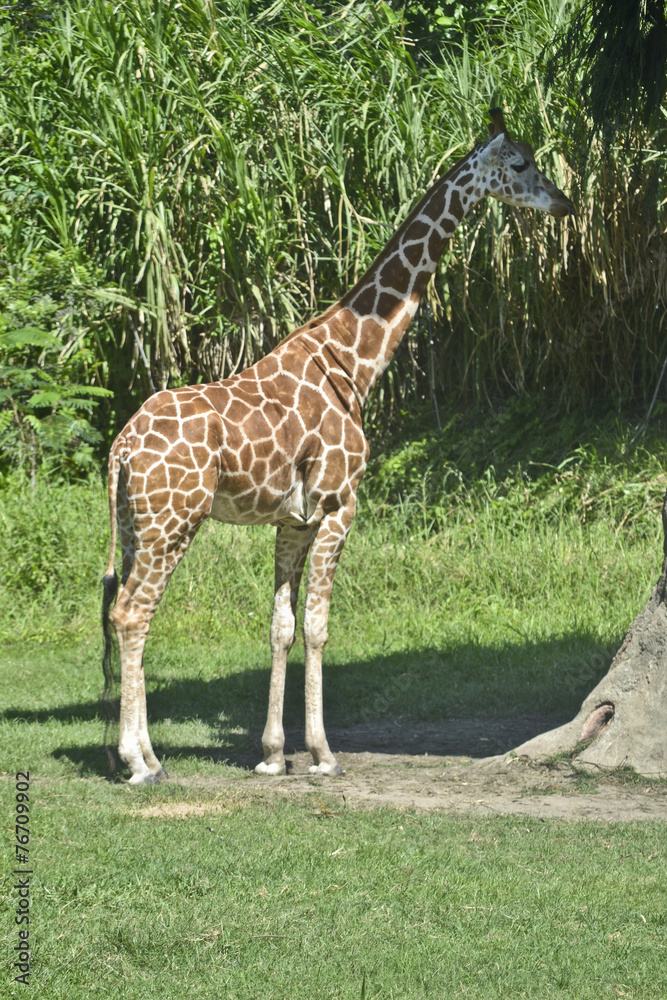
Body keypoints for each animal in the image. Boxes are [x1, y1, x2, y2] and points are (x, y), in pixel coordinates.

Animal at [102, 107, 574, 784]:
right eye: (520, 163)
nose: (563, 202)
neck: (352, 361)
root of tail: (119, 449)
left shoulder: (292, 521)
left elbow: (281, 627)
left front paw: (274, 755)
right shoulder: (339, 505)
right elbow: (320, 628)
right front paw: (324, 754)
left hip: (136, 523)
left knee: (126, 613)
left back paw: (144, 755)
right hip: (174, 520)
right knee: (133, 613)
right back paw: (140, 762)